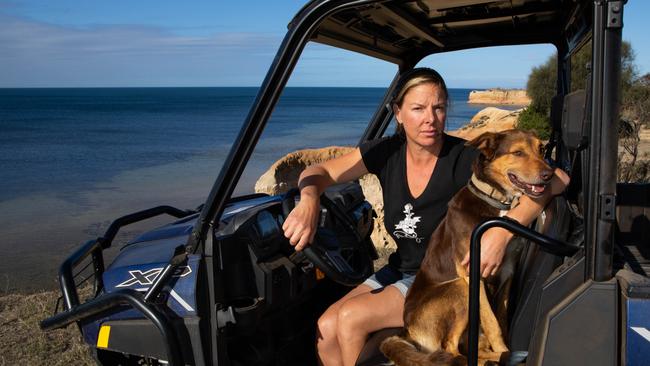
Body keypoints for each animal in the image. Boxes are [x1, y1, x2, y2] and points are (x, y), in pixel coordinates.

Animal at [380, 130, 552, 364]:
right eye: (518, 152)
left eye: (541, 149)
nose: (549, 175)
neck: (496, 200)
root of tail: (407, 331)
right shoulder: (473, 273)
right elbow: (493, 322)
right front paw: (503, 350)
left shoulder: (508, 270)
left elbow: (502, 318)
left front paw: (504, 348)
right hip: (459, 287)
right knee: (450, 348)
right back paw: (497, 357)